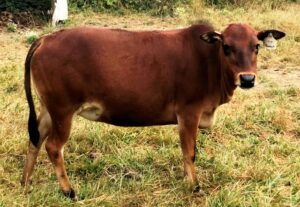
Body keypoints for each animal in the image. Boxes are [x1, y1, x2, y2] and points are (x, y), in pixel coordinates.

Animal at [22, 23, 284, 198]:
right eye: (227, 47)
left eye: (256, 46)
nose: (248, 79)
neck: (210, 62)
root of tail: (46, 38)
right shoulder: (189, 113)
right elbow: (190, 152)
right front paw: (194, 185)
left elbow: (187, 152)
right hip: (63, 110)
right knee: (53, 146)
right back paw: (68, 190)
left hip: (48, 109)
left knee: (35, 139)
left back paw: (26, 181)